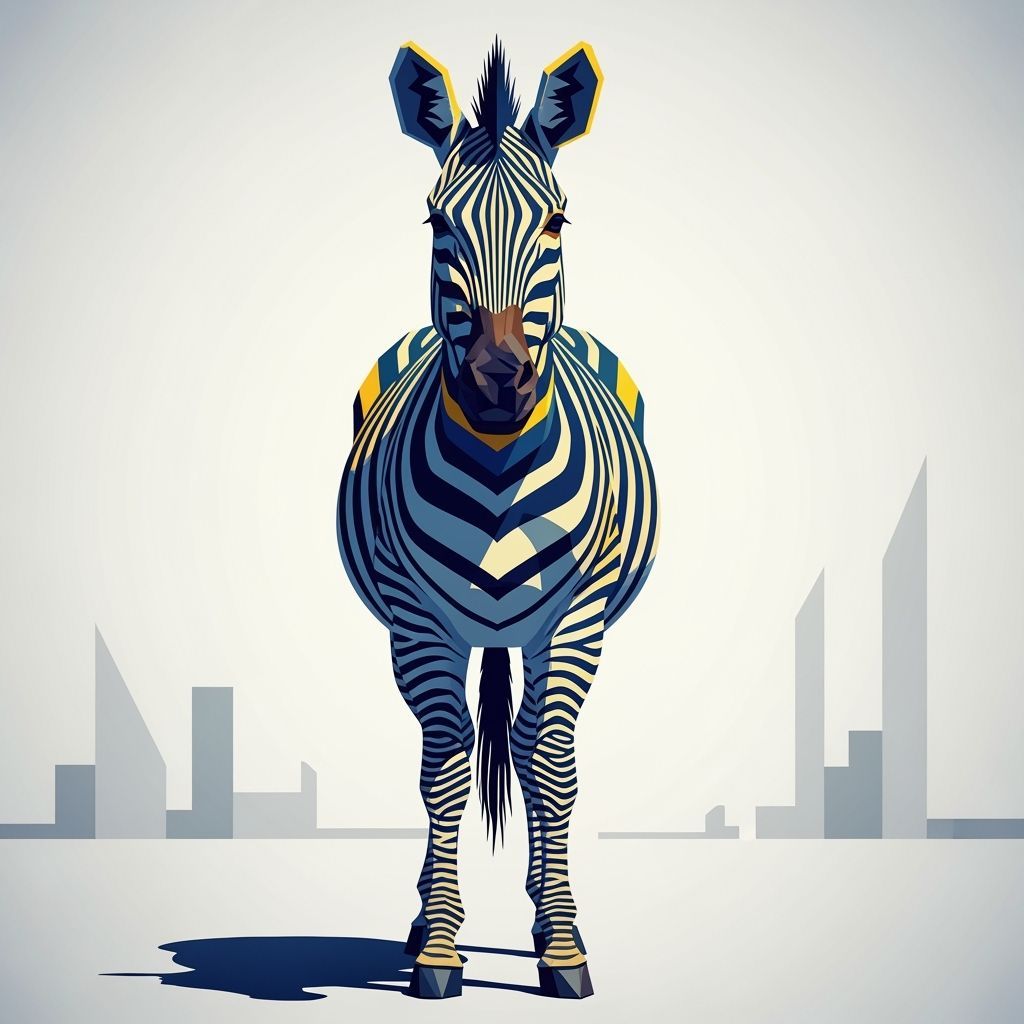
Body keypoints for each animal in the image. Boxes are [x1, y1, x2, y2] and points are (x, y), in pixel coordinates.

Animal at [337, 39, 659, 1000]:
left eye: (556, 222)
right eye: (435, 221)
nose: (494, 383)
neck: (498, 466)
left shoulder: (576, 617)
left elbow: (548, 766)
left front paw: (563, 945)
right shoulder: (418, 622)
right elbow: (442, 766)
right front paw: (440, 949)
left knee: (522, 743)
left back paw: (545, 905)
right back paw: (422, 919)